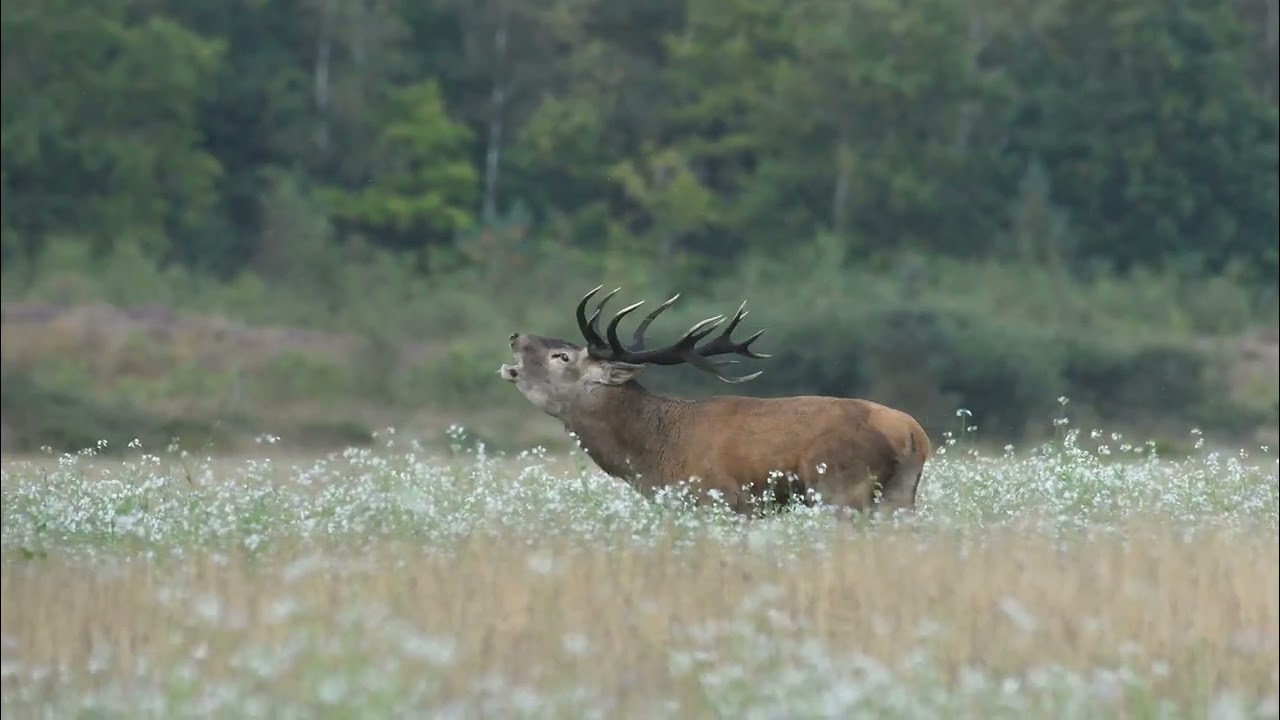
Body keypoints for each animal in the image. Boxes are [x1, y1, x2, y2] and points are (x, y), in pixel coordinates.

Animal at [498, 286, 932, 517]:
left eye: (562, 357)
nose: (516, 337)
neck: (653, 455)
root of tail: (913, 434)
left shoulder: (718, 499)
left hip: (839, 486)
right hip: (898, 495)